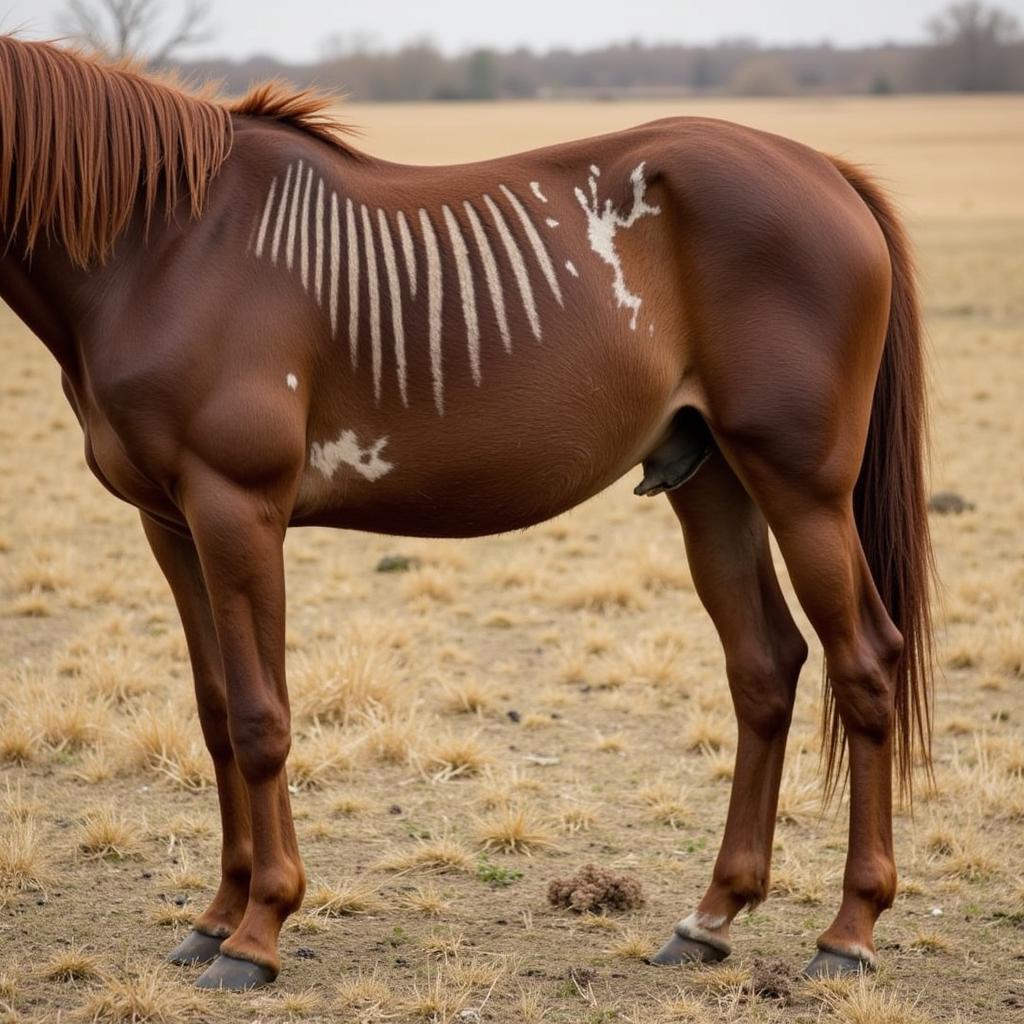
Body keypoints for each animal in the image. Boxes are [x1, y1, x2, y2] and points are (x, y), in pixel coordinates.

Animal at [0, 36, 933, 987]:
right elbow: (218, 713)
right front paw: (215, 917)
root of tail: (823, 169)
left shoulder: (236, 506)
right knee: (766, 667)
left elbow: (262, 720)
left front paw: (258, 933)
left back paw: (848, 932)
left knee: (864, 662)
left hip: (801, 483)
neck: (163, 248)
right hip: (713, 483)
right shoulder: (169, 521)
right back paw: (710, 918)